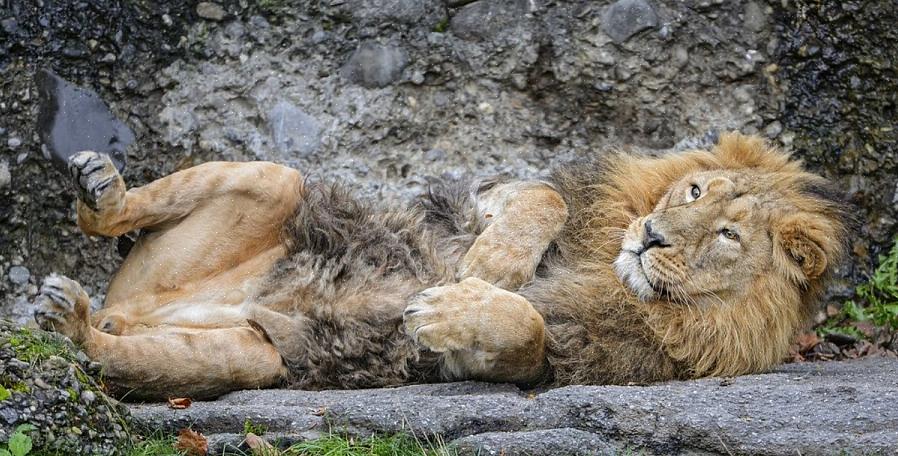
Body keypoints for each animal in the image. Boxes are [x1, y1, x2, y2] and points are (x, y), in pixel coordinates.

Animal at [33, 133, 848, 400]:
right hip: (277, 179)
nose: (650, 236)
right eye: (694, 190)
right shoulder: (483, 197)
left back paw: (71, 320)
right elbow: (543, 198)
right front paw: (488, 268)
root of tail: (133, 303)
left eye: (728, 236)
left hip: (247, 359)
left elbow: (524, 331)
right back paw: (101, 188)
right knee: (102, 219)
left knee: (113, 350)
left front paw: (450, 306)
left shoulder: (574, 358)